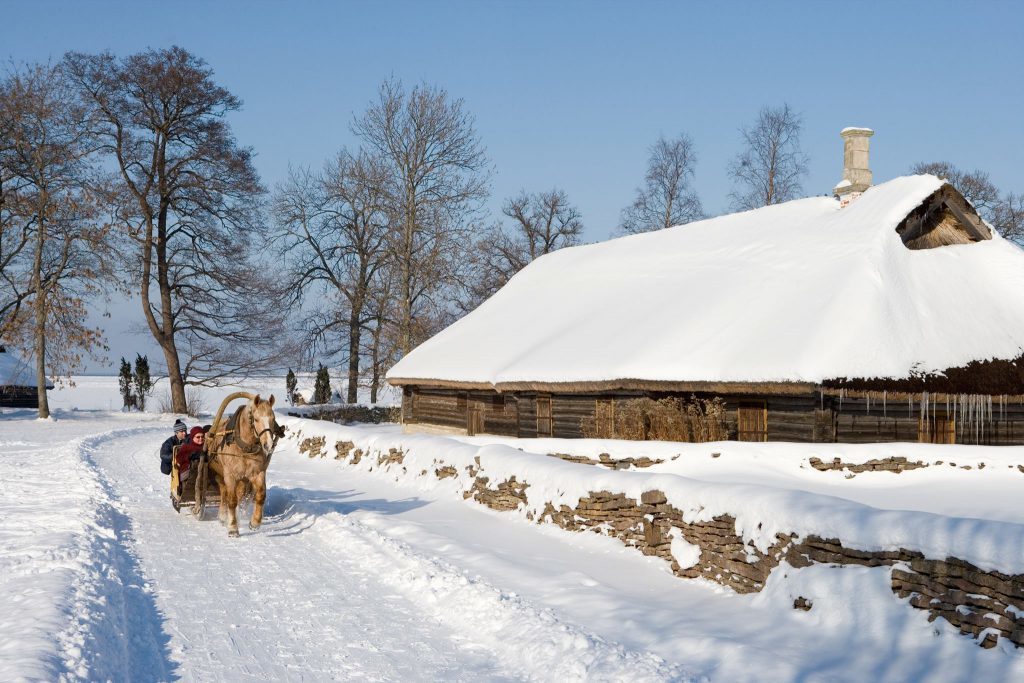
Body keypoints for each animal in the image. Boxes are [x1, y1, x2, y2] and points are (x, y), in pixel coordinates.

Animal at [203, 395, 284, 532]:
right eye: (256, 419)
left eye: (273, 419)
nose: (268, 445)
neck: (245, 448)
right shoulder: (230, 475)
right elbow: (231, 500)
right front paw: (233, 527)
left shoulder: (257, 473)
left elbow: (260, 495)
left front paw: (255, 522)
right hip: (219, 474)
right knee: (224, 493)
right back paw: (223, 516)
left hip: (242, 479)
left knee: (238, 494)